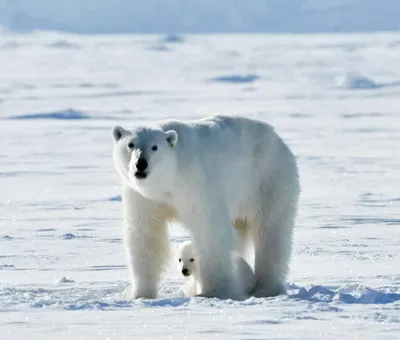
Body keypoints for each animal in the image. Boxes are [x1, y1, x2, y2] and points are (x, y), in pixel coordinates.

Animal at [111, 114, 298, 300]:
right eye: (131, 144)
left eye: (155, 147)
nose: (141, 163)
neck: (168, 181)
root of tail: (278, 139)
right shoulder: (143, 197)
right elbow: (145, 234)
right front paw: (141, 294)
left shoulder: (196, 183)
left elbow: (210, 229)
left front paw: (213, 292)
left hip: (268, 180)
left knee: (271, 232)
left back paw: (267, 289)